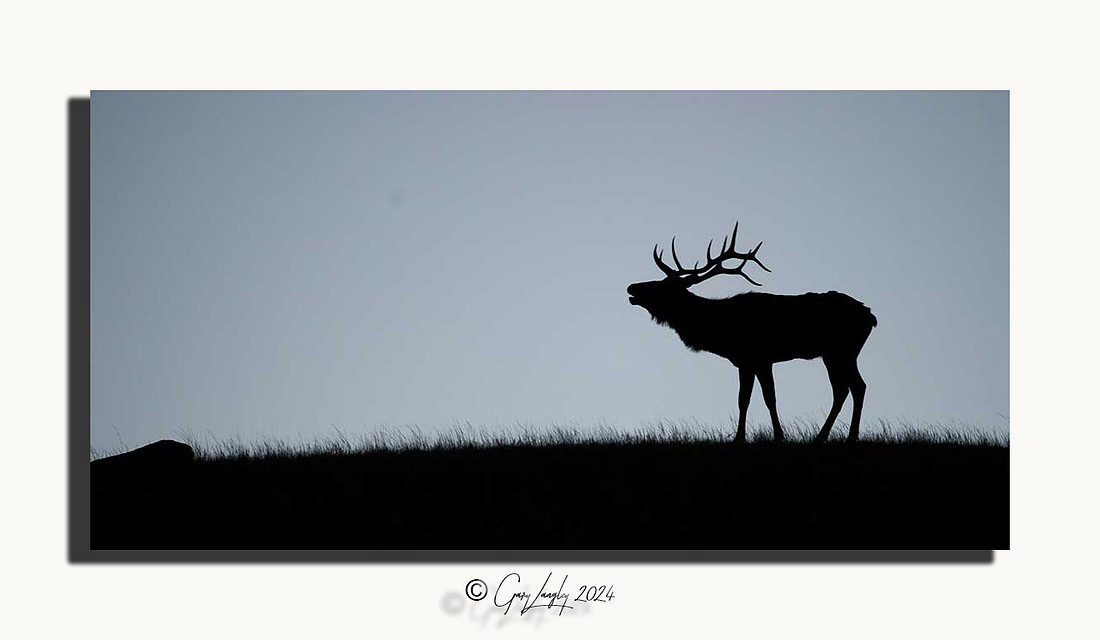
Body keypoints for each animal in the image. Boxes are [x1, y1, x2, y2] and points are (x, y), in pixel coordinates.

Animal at [626, 222, 877, 444]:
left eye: (661, 286)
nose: (632, 287)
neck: (717, 329)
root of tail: (871, 317)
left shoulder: (758, 357)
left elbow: (760, 398)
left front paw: (758, 437)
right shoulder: (749, 361)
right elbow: (751, 398)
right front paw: (761, 435)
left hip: (841, 351)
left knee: (852, 387)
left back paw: (842, 437)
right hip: (835, 354)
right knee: (848, 388)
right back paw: (830, 436)